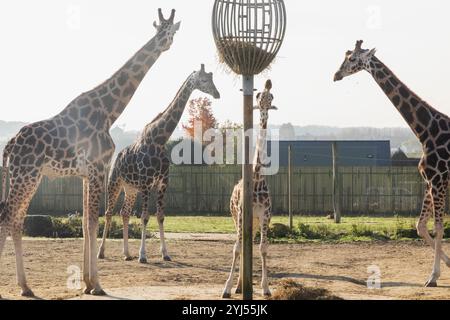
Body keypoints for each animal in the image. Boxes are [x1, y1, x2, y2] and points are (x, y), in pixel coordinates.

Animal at [0, 8, 181, 298]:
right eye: (164, 31)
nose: (165, 43)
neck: (108, 110)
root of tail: (10, 144)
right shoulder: (98, 167)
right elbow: (94, 221)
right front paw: (96, 284)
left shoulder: (87, 173)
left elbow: (86, 222)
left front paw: (87, 282)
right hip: (26, 175)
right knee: (8, 216)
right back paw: (24, 285)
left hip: (28, 176)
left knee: (15, 220)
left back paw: (26, 287)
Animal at [97, 64, 221, 262]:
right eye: (203, 80)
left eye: (212, 79)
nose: (217, 94)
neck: (159, 140)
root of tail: (117, 157)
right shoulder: (147, 183)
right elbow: (145, 217)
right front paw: (143, 255)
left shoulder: (163, 182)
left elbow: (160, 216)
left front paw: (165, 254)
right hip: (115, 182)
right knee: (109, 213)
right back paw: (101, 252)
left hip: (131, 189)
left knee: (124, 212)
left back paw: (126, 253)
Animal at [334, 40, 450, 288]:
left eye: (352, 59)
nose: (335, 75)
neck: (425, 131)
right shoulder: (429, 182)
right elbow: (420, 226)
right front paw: (449, 264)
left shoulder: (438, 181)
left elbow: (438, 227)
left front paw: (433, 277)